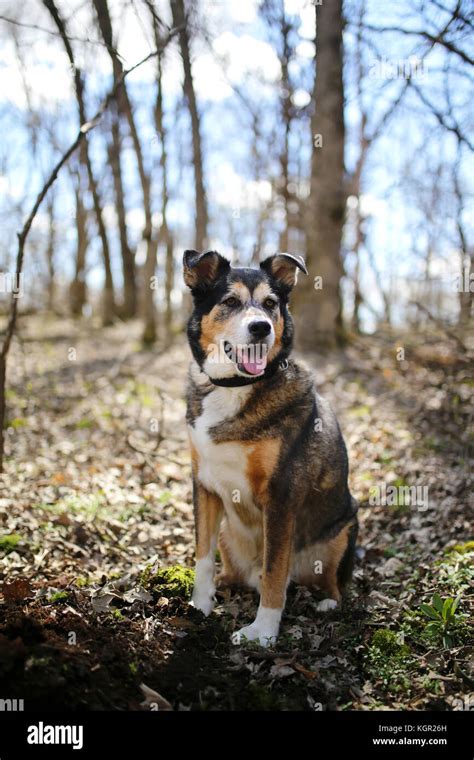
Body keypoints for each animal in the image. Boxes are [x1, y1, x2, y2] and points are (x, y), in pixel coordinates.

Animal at [183, 249, 358, 648]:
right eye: (230, 302)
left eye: (270, 304)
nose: (261, 327)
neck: (233, 387)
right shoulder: (204, 485)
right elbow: (203, 555)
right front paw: (200, 604)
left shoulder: (281, 495)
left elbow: (276, 571)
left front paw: (262, 632)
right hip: (229, 535)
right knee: (235, 571)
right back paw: (225, 584)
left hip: (345, 528)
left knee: (331, 583)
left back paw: (326, 602)